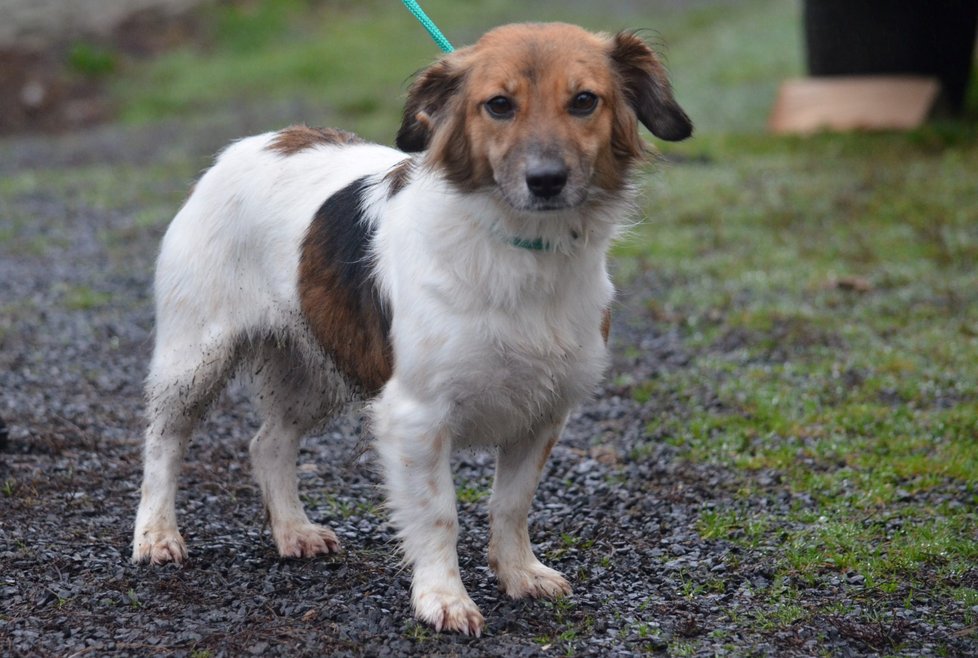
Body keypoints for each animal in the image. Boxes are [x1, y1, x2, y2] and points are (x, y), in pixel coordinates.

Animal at [133, 23, 692, 632]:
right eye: (499, 105)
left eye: (585, 101)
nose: (546, 181)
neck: (516, 248)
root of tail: (255, 143)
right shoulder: (415, 414)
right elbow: (438, 513)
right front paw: (443, 598)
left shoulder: (544, 410)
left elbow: (512, 503)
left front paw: (520, 573)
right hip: (195, 357)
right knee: (164, 441)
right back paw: (156, 534)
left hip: (321, 360)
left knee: (268, 444)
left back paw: (293, 531)